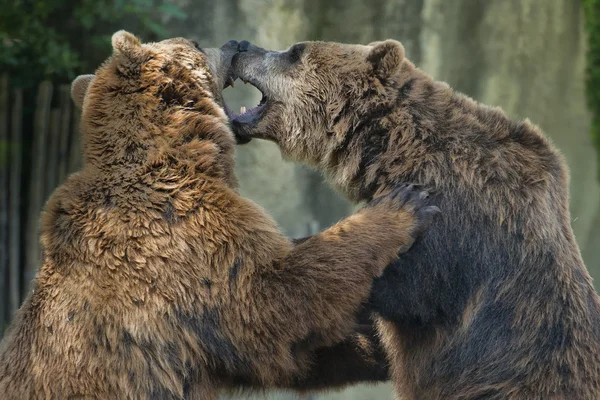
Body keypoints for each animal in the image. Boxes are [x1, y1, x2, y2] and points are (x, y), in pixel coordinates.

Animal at [0, 32, 436, 400]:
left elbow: (290, 353)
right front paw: (402, 205)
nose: (235, 42)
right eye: (196, 41)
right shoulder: (182, 239)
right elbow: (274, 300)